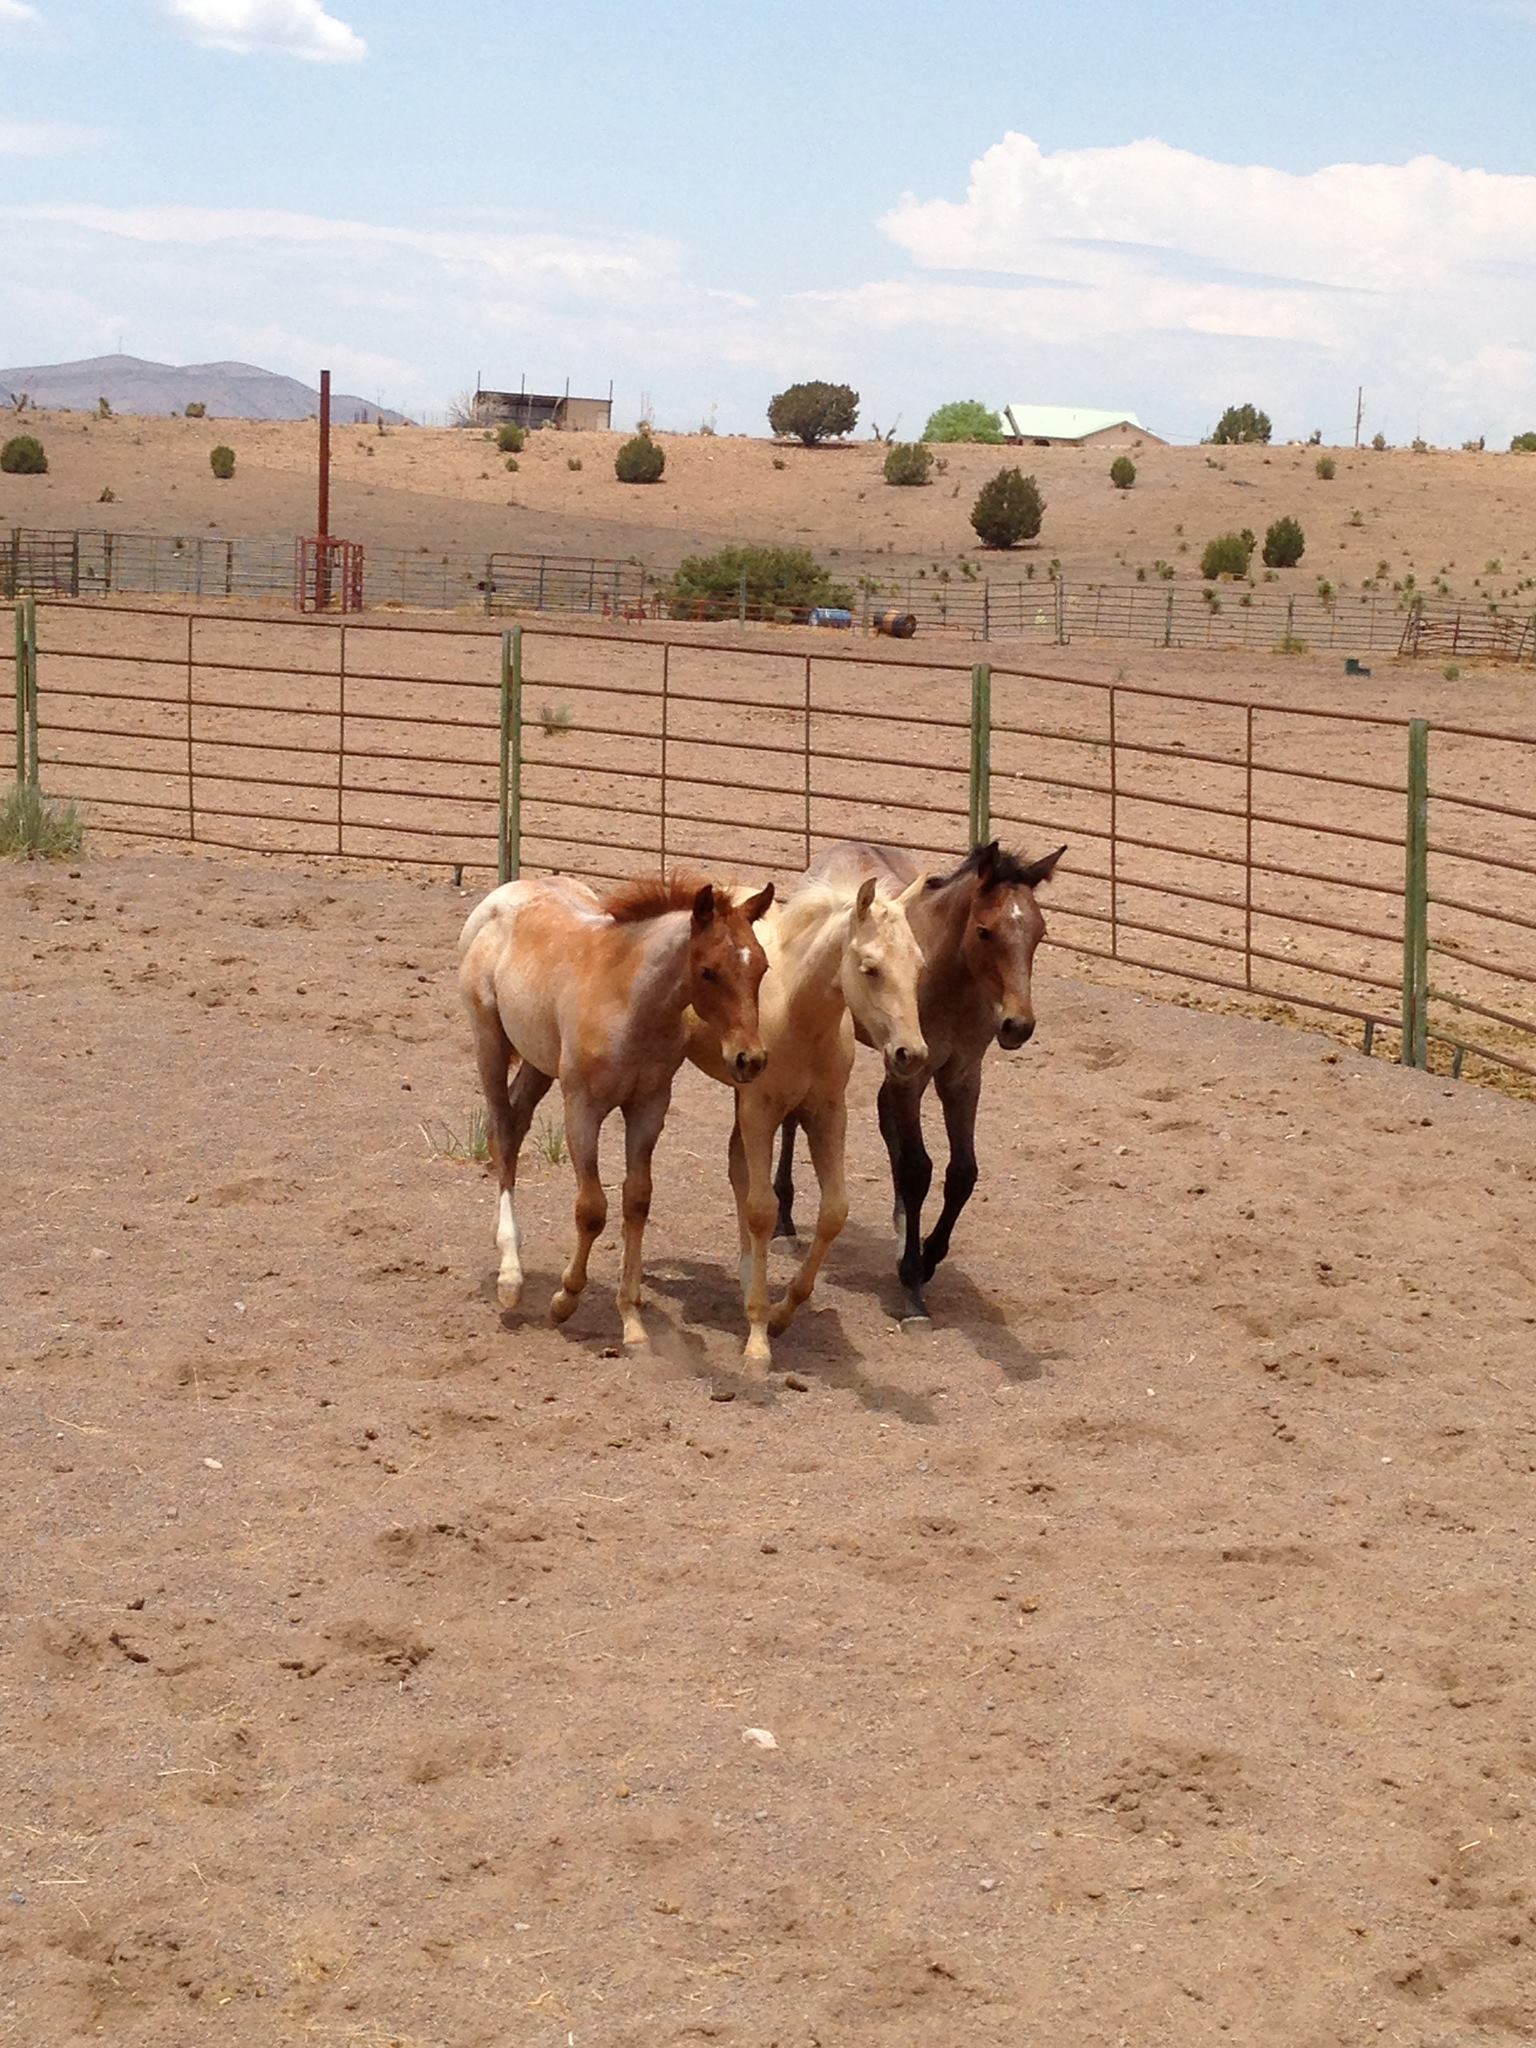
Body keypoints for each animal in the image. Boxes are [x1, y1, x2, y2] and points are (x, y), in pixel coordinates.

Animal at [459, 871, 774, 1347]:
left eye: (762, 967)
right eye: (708, 971)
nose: (749, 1059)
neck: (630, 1002)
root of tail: (506, 891)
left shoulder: (649, 1108)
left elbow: (636, 1200)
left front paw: (632, 1318)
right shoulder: (582, 1109)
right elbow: (591, 1209)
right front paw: (565, 1299)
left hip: (538, 1061)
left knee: (515, 1125)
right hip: (490, 1043)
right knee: (500, 1132)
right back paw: (510, 1278)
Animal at [687, 873, 928, 1363]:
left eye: (918, 966)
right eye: (870, 967)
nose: (910, 1054)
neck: (797, 1013)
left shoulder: (827, 1113)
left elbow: (833, 1211)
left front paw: (780, 1315)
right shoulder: (759, 1111)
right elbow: (762, 1210)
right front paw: (758, 1339)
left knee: (736, 1168)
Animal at [773, 839, 1065, 1321]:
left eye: (1039, 933)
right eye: (985, 931)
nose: (1017, 1025)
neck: (950, 981)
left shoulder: (961, 1075)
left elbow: (961, 1172)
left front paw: (926, 1258)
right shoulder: (912, 1074)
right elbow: (916, 1168)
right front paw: (912, 1284)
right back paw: (783, 1220)